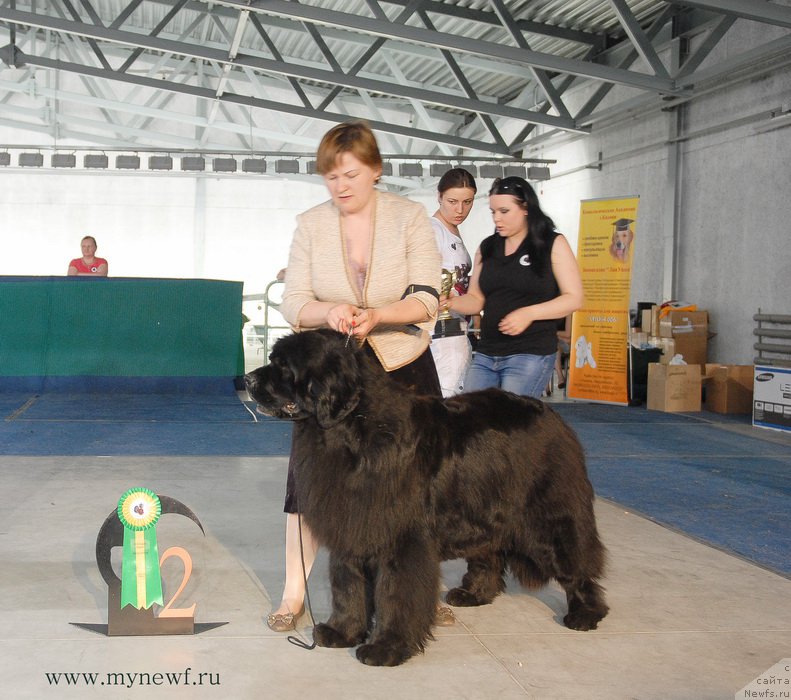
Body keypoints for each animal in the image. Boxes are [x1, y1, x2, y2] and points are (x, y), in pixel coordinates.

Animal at [244, 330, 608, 668]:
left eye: (284, 367)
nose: (246, 379)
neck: (353, 432)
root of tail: (551, 414)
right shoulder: (353, 526)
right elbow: (348, 586)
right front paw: (342, 632)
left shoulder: (401, 540)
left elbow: (395, 595)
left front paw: (386, 648)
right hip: (484, 509)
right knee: (488, 554)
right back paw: (473, 594)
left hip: (547, 517)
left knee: (575, 563)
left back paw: (586, 613)